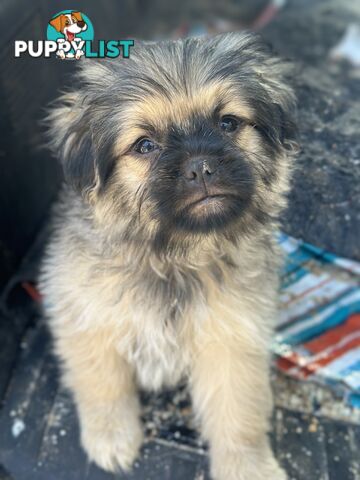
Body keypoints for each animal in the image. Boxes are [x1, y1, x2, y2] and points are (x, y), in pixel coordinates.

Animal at [40, 32, 298, 480]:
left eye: (228, 123)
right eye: (145, 145)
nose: (201, 167)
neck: (174, 259)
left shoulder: (232, 342)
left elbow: (238, 414)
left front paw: (247, 467)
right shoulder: (87, 321)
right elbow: (103, 385)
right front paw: (111, 436)